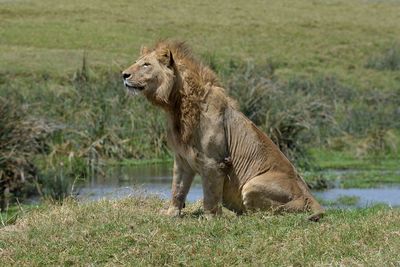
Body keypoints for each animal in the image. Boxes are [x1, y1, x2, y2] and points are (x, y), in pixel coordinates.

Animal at [122, 40, 324, 222]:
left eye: (146, 64)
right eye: (137, 61)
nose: (124, 74)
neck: (177, 107)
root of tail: (314, 200)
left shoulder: (213, 161)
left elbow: (210, 195)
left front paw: (210, 218)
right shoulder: (181, 159)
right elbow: (177, 190)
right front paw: (171, 214)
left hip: (252, 185)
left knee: (273, 212)